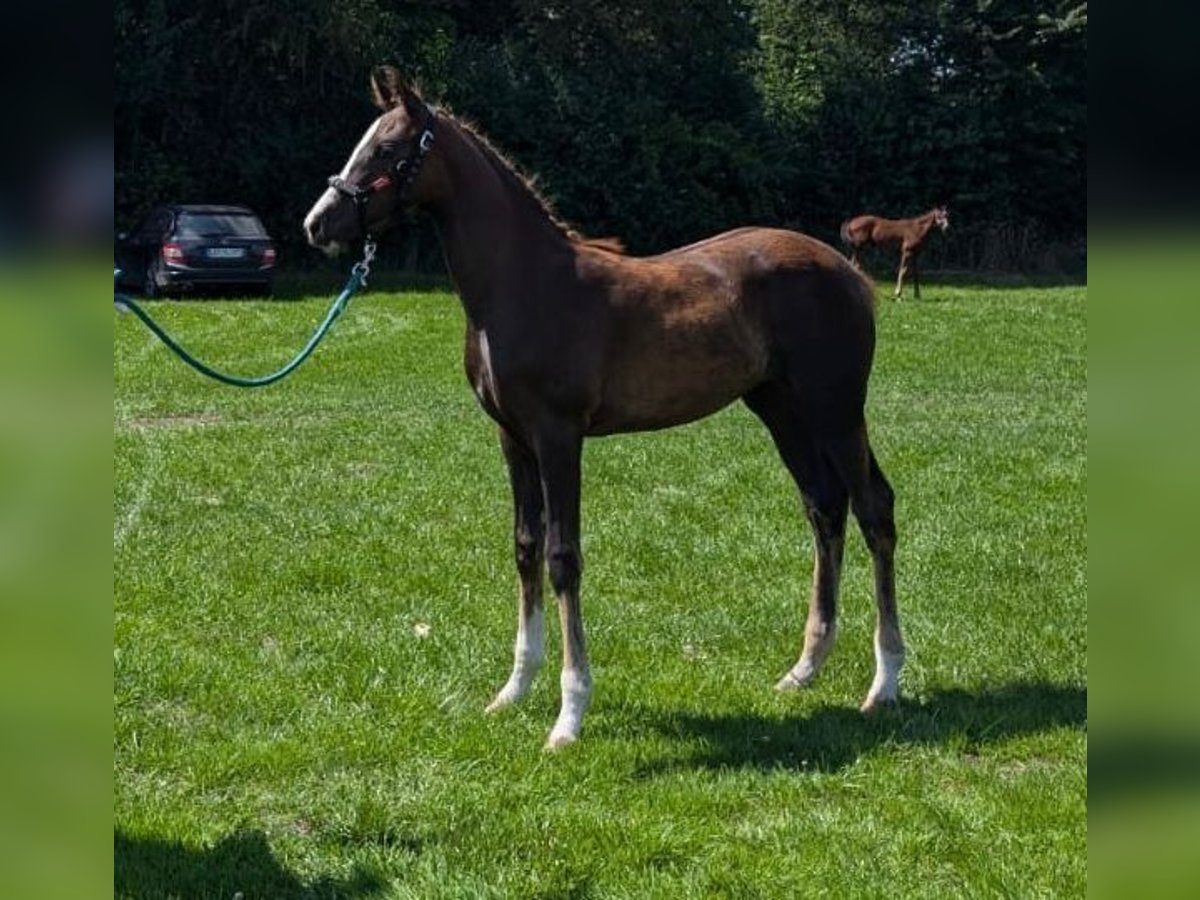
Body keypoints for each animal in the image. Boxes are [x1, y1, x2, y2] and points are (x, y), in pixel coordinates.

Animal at [304, 68, 902, 748]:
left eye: (386, 148)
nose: (318, 224)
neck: (524, 285)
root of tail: (847, 272)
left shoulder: (559, 436)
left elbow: (564, 557)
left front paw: (568, 715)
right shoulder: (513, 438)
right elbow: (525, 547)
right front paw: (512, 691)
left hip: (836, 408)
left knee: (874, 508)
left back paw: (884, 683)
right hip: (780, 409)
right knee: (824, 508)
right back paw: (804, 669)